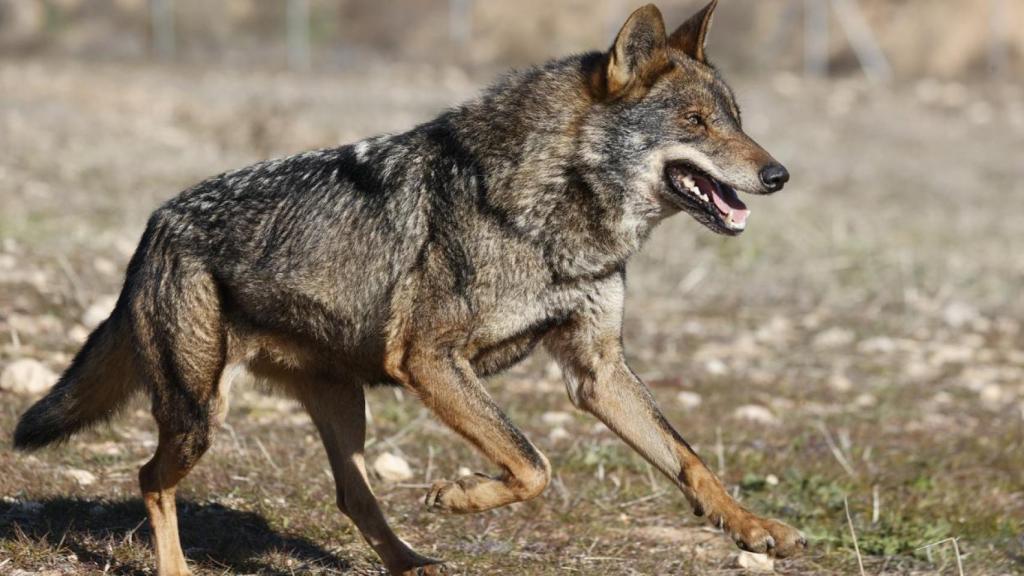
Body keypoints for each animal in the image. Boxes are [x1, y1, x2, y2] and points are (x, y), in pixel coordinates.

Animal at [13, 2, 803, 574]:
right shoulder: (429, 359)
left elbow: (688, 459)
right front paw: (460, 495)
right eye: (696, 123)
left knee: (352, 499)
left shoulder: (596, 371)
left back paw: (414, 563)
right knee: (149, 479)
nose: (778, 175)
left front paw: (754, 526)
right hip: (200, 416)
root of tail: (156, 223)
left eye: (737, 120)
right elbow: (534, 463)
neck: (556, 213)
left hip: (342, 410)